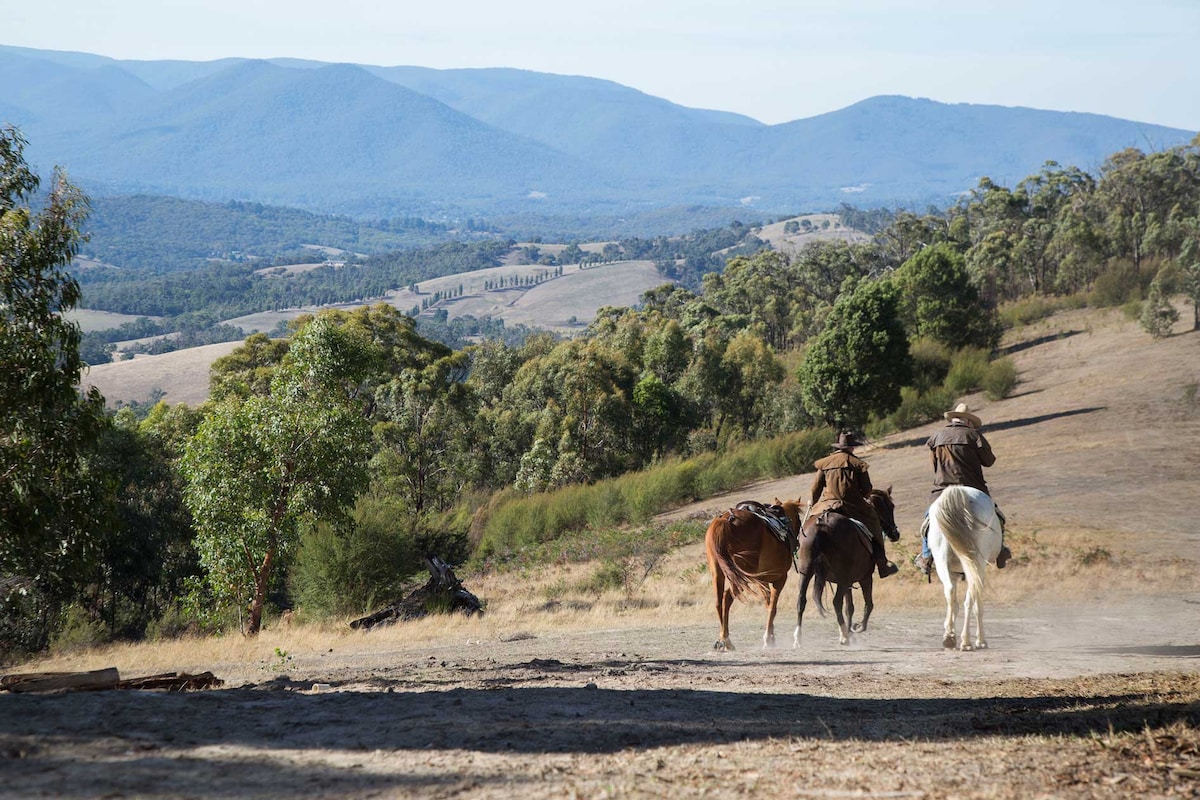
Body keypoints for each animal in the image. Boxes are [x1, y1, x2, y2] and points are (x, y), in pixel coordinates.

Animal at [700, 501, 806, 652]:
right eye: (798, 520)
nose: (797, 543)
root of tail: (725, 520)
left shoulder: (762, 581)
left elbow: (768, 604)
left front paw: (771, 636)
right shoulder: (780, 579)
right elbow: (773, 606)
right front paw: (768, 638)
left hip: (718, 572)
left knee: (718, 602)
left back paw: (723, 639)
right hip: (740, 575)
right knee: (727, 597)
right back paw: (726, 640)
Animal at [792, 489, 897, 652]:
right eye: (890, 506)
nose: (895, 534)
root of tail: (821, 525)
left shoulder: (847, 583)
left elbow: (849, 607)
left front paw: (851, 632)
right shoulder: (865, 578)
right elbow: (868, 604)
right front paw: (857, 628)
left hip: (806, 572)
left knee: (801, 601)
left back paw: (798, 639)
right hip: (843, 577)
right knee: (836, 602)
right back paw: (844, 637)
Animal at [926, 489, 1003, 652]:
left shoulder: (954, 573)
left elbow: (954, 604)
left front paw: (949, 633)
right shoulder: (979, 571)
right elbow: (977, 606)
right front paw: (981, 640)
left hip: (941, 559)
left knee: (949, 591)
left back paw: (950, 638)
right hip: (976, 563)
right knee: (969, 600)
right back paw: (966, 641)